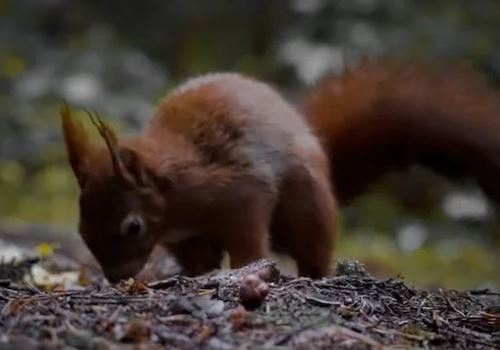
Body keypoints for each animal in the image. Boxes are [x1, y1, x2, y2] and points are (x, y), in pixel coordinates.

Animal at [61, 62, 500, 282]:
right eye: (80, 228)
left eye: (132, 227)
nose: (115, 278)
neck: (174, 197)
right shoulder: (182, 237)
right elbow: (197, 256)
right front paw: (196, 275)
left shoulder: (239, 192)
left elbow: (249, 239)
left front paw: (245, 270)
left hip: (306, 206)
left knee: (314, 251)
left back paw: (312, 275)